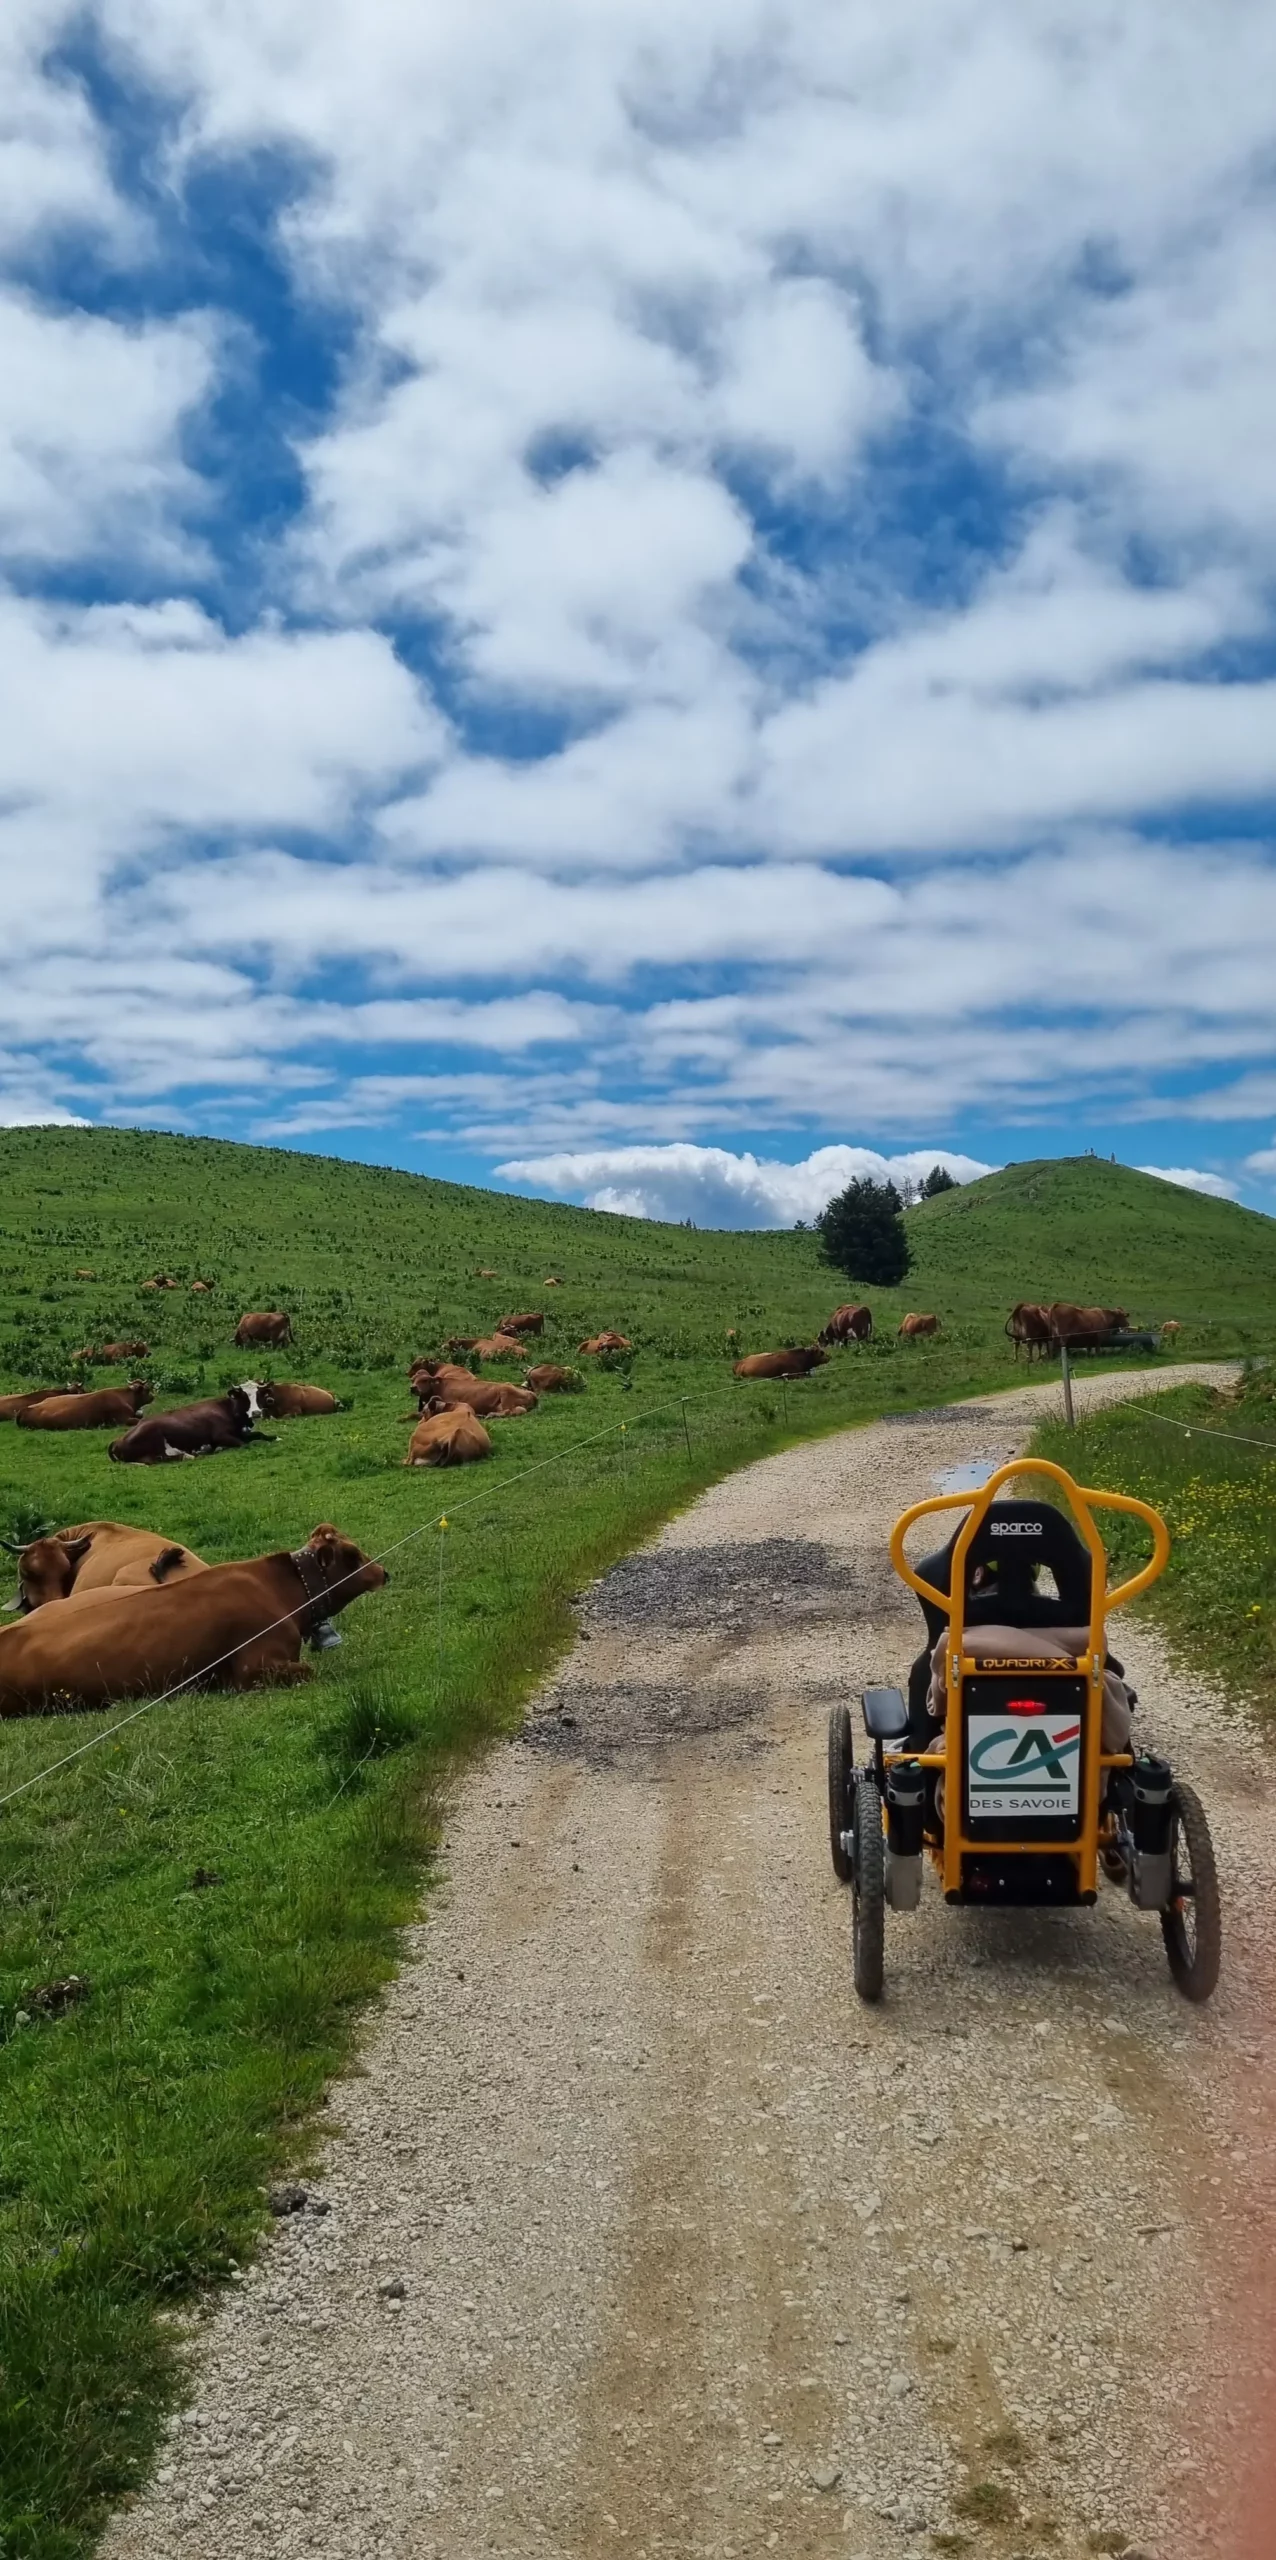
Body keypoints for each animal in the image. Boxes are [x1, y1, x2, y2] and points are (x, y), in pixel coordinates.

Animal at [107, 1382, 269, 1464]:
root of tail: (117, 1440)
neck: (227, 1409)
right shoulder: (221, 1436)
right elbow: (245, 1444)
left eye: (258, 1395)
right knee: (155, 1459)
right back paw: (190, 1455)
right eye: (244, 1396)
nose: (256, 1413)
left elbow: (261, 1435)